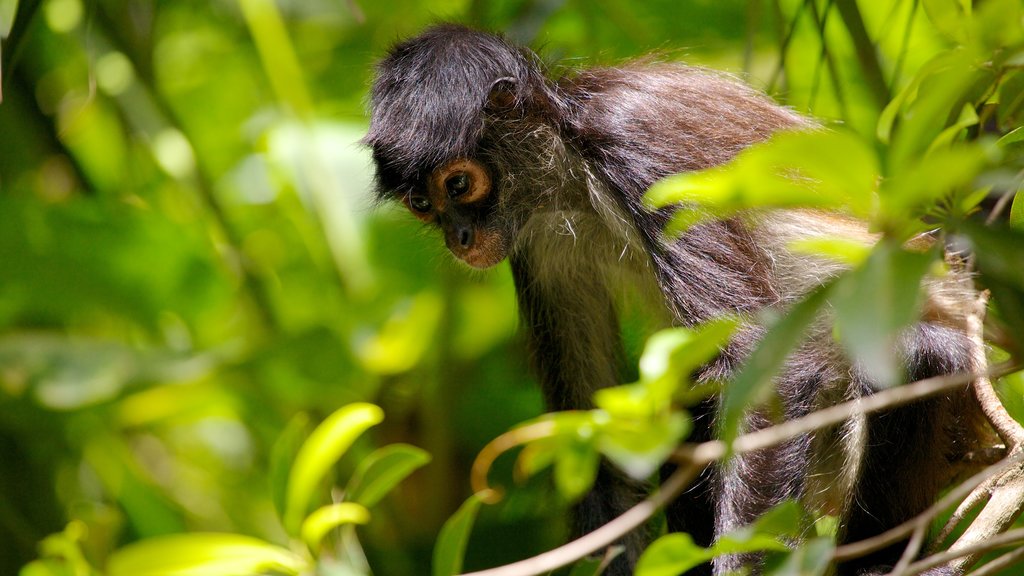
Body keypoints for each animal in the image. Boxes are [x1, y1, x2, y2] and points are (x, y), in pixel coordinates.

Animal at [364, 23, 987, 573]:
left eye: (459, 183)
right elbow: (598, 449)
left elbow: (768, 369)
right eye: (423, 204)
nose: (459, 237)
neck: (571, 162)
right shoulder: (538, 241)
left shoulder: (634, 146)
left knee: (912, 353)